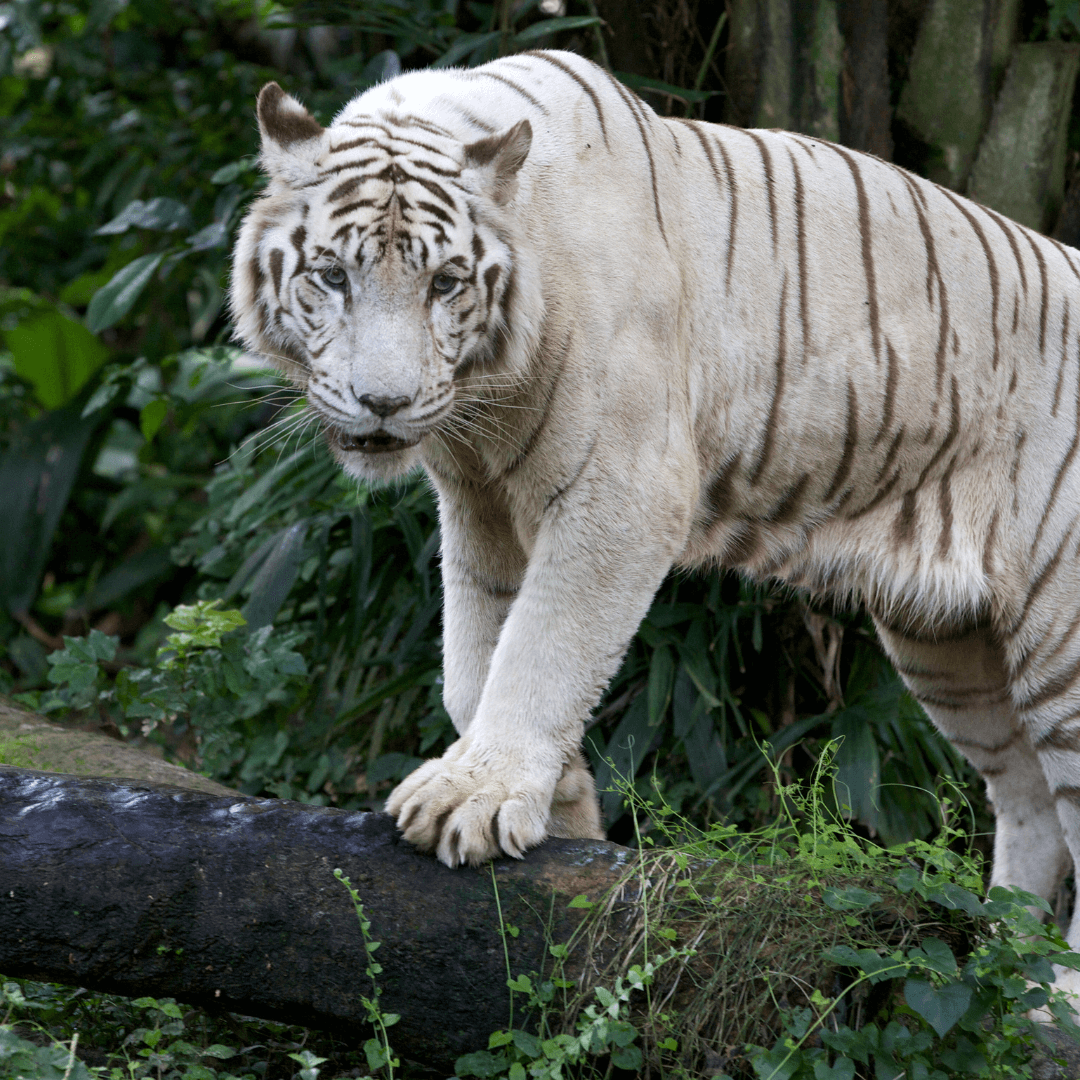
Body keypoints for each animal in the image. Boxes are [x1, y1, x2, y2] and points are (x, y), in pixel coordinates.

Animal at [236, 48, 1080, 993]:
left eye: (445, 283)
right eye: (332, 276)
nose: (384, 403)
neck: (486, 402)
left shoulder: (623, 491)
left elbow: (543, 645)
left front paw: (476, 797)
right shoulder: (481, 506)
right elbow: (474, 664)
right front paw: (559, 804)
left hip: (1062, 634)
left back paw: (1051, 1000)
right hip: (948, 642)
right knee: (1028, 800)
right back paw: (1004, 967)